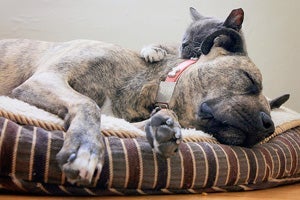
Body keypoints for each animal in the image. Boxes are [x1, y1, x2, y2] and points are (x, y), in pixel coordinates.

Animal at [0, 8, 288, 185]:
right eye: (249, 79)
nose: (268, 126)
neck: (156, 83)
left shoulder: (122, 117)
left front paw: (162, 126)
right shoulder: (46, 78)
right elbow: (88, 103)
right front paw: (85, 147)